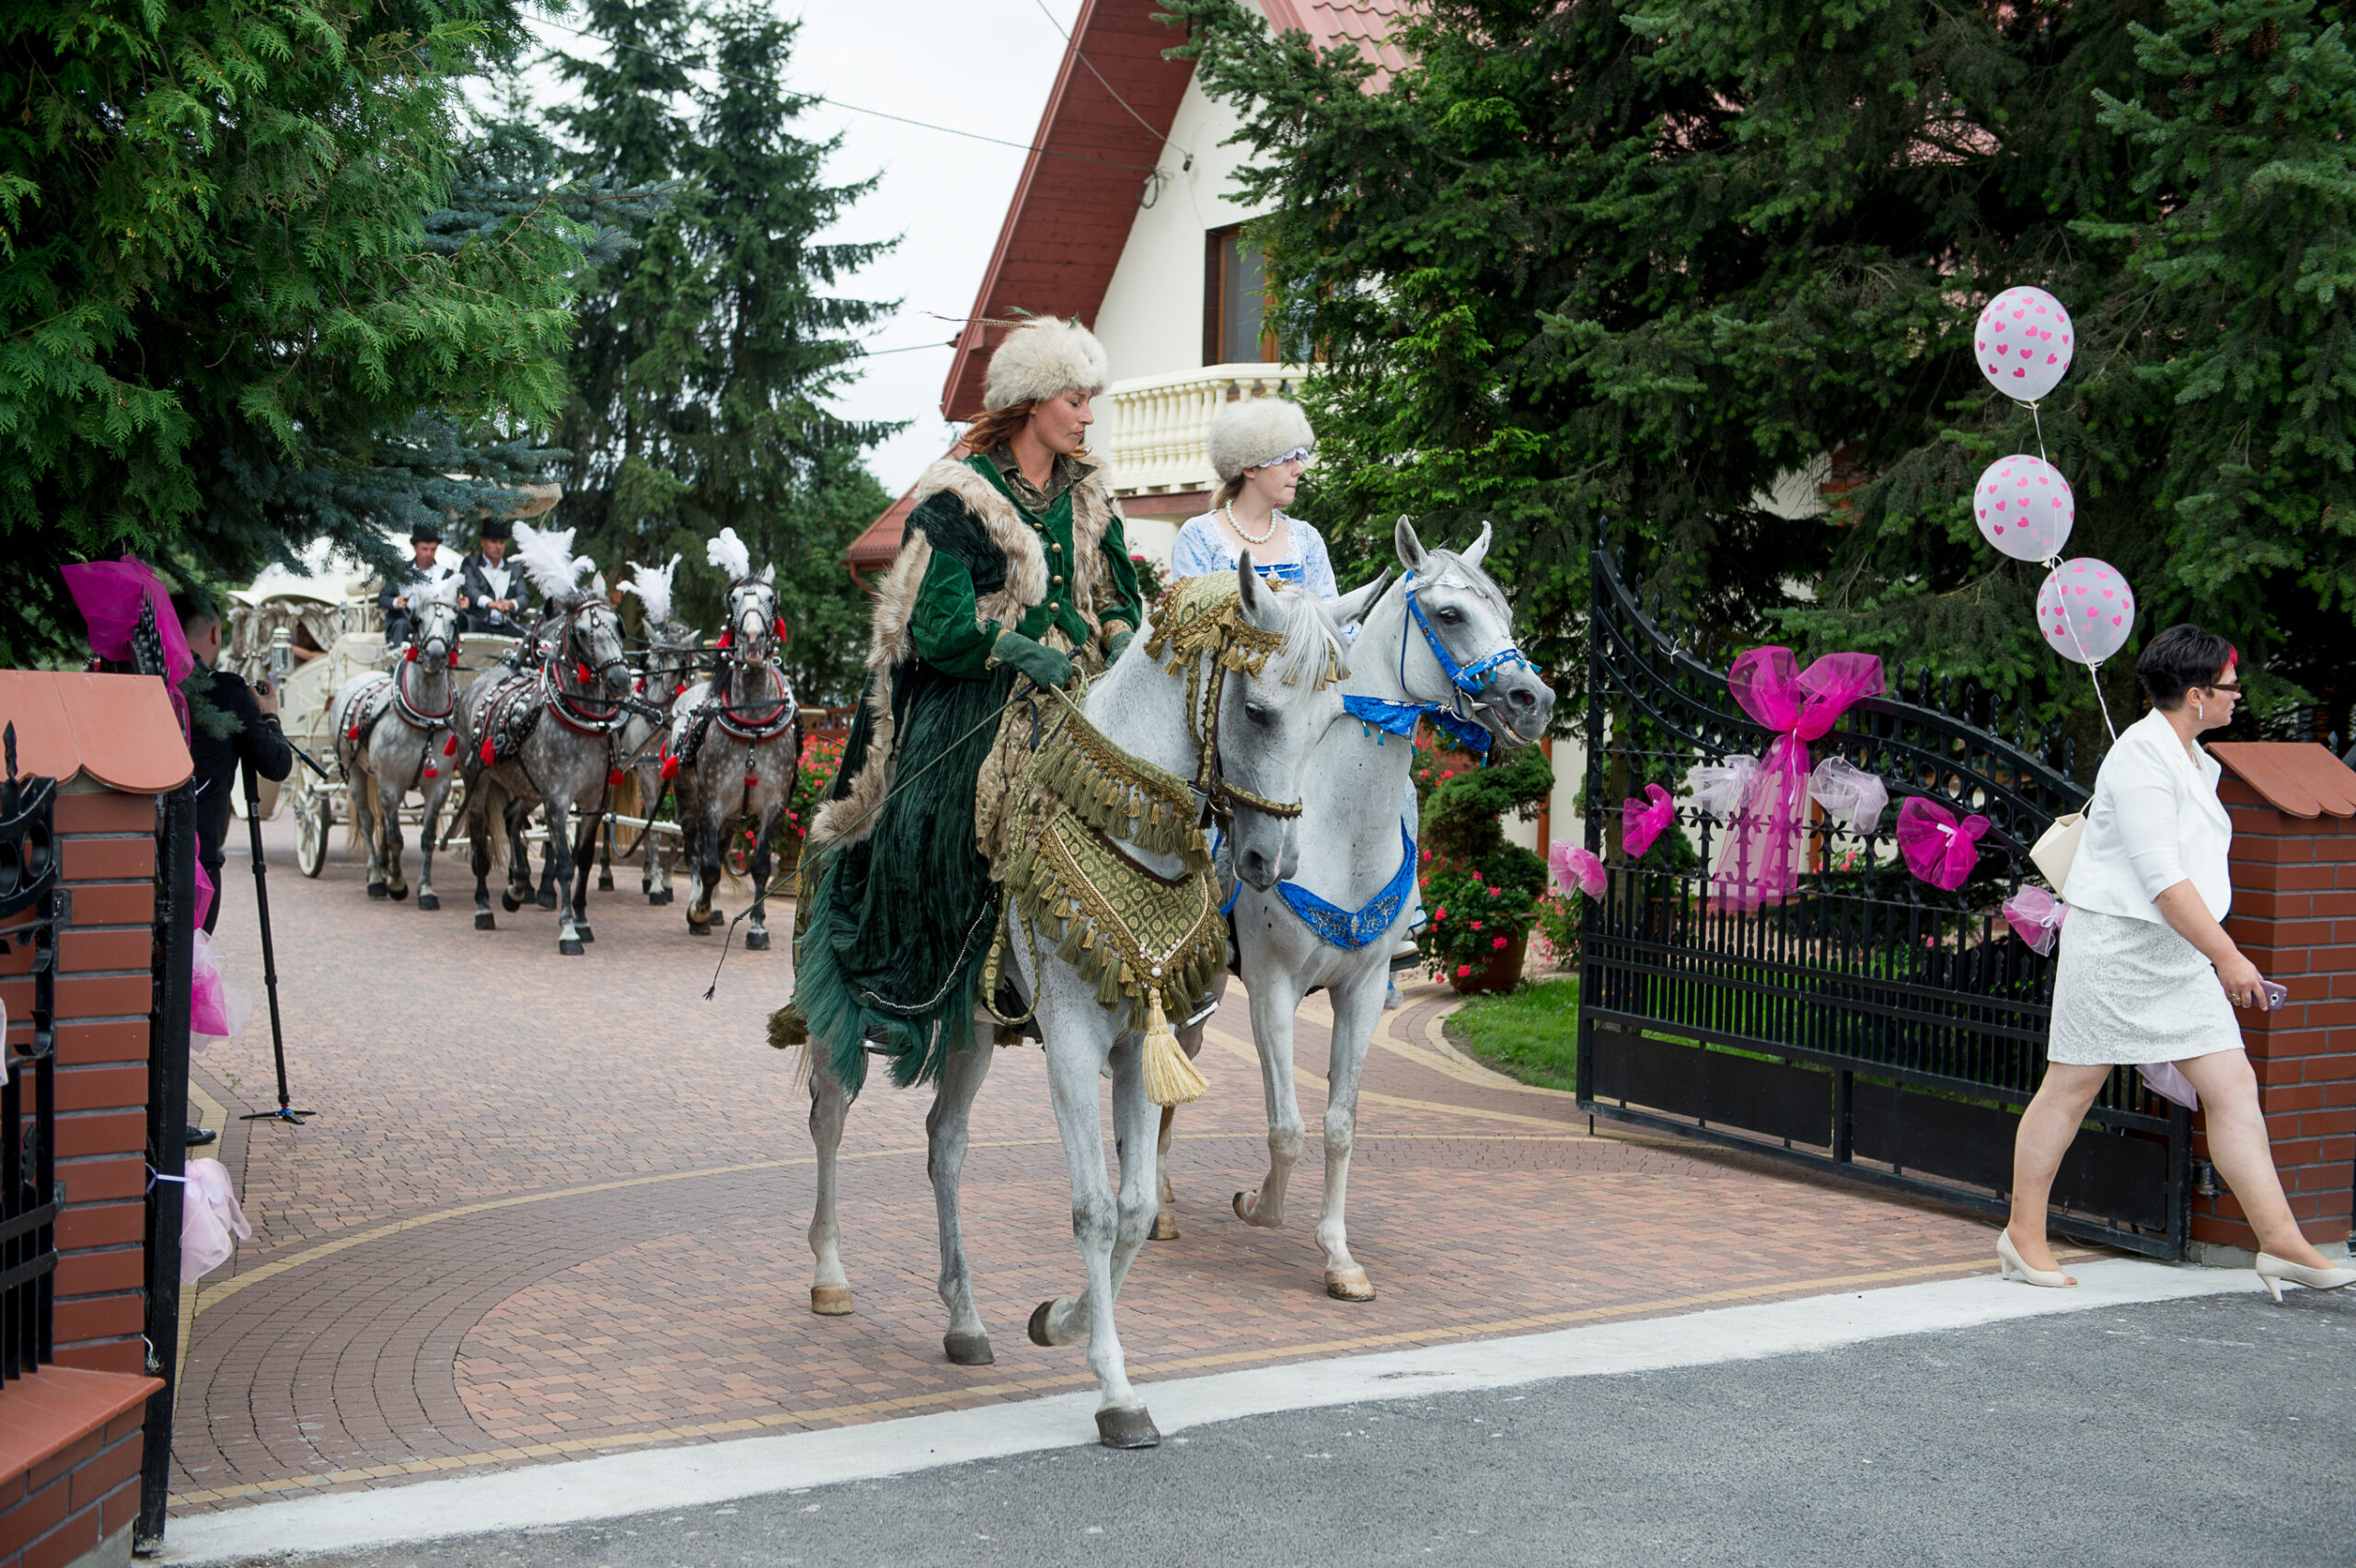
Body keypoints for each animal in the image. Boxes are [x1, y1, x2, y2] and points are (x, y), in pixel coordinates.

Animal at [327, 590, 465, 909]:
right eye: (417, 620)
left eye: (454, 621)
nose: (436, 655)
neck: (425, 719)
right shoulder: (391, 782)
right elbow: (396, 837)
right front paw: (398, 884)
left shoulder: (439, 784)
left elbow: (426, 837)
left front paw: (426, 890)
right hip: (356, 773)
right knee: (369, 822)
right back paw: (377, 878)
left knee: (381, 823)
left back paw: (383, 869)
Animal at [455, 593, 640, 953]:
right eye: (581, 632)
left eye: (618, 626)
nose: (621, 680)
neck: (583, 720)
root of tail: (479, 683)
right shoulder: (557, 800)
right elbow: (565, 864)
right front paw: (568, 930)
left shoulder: (594, 803)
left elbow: (584, 860)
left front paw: (581, 920)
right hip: (476, 780)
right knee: (480, 839)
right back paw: (484, 908)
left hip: (527, 787)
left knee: (512, 819)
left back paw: (516, 889)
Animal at [668, 572, 799, 948]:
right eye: (734, 600)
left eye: (771, 599)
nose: (753, 640)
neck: (753, 725)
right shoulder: (711, 801)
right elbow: (709, 866)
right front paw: (697, 911)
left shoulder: (775, 805)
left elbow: (761, 867)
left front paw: (757, 928)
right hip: (688, 799)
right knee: (695, 852)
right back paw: (700, 906)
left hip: (731, 818)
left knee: (720, 847)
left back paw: (713, 909)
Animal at [797, 561, 1385, 1448]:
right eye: (1256, 709)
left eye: (1327, 723)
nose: (1269, 862)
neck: (1126, 828)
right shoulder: (1074, 1041)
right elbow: (1094, 1211)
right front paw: (1116, 1392)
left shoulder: (1139, 1044)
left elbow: (1136, 1209)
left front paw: (1058, 1321)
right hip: (859, 989)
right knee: (831, 1112)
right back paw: (831, 1273)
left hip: (973, 1028)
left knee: (946, 1145)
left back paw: (964, 1318)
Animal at [1159, 518, 1556, 1300]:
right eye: (1449, 614)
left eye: (1505, 610)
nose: (1534, 698)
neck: (1340, 828)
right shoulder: (1273, 988)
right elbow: (1286, 1128)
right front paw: (1259, 1205)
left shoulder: (1365, 990)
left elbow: (1339, 1123)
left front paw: (1339, 1258)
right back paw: (1155, 1206)